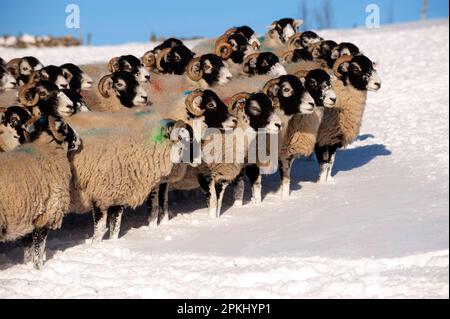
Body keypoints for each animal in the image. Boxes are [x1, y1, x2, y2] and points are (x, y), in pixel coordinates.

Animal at [0, 110, 80, 270]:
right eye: (64, 127)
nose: (79, 138)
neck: (45, 149)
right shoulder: (46, 214)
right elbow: (39, 248)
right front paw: (38, 269)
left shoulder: (28, 217)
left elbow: (28, 249)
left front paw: (27, 266)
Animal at [314, 55, 382, 184]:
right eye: (356, 69)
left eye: (371, 66)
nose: (378, 83)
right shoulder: (322, 138)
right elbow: (324, 165)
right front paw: (321, 183)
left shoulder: (333, 138)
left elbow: (331, 163)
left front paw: (329, 181)